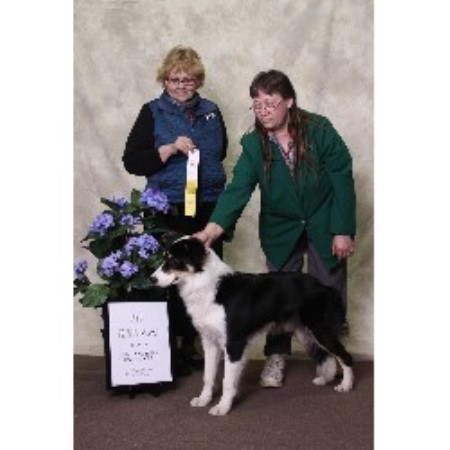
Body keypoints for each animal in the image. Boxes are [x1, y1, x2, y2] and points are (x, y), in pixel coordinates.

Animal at [151, 237, 356, 416]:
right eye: (165, 257)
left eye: (174, 259)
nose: (152, 279)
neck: (209, 287)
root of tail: (326, 287)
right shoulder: (209, 342)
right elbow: (208, 376)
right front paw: (204, 399)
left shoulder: (234, 343)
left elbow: (227, 381)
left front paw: (222, 407)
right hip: (306, 333)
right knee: (328, 356)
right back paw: (325, 378)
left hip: (321, 330)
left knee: (345, 356)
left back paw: (345, 386)